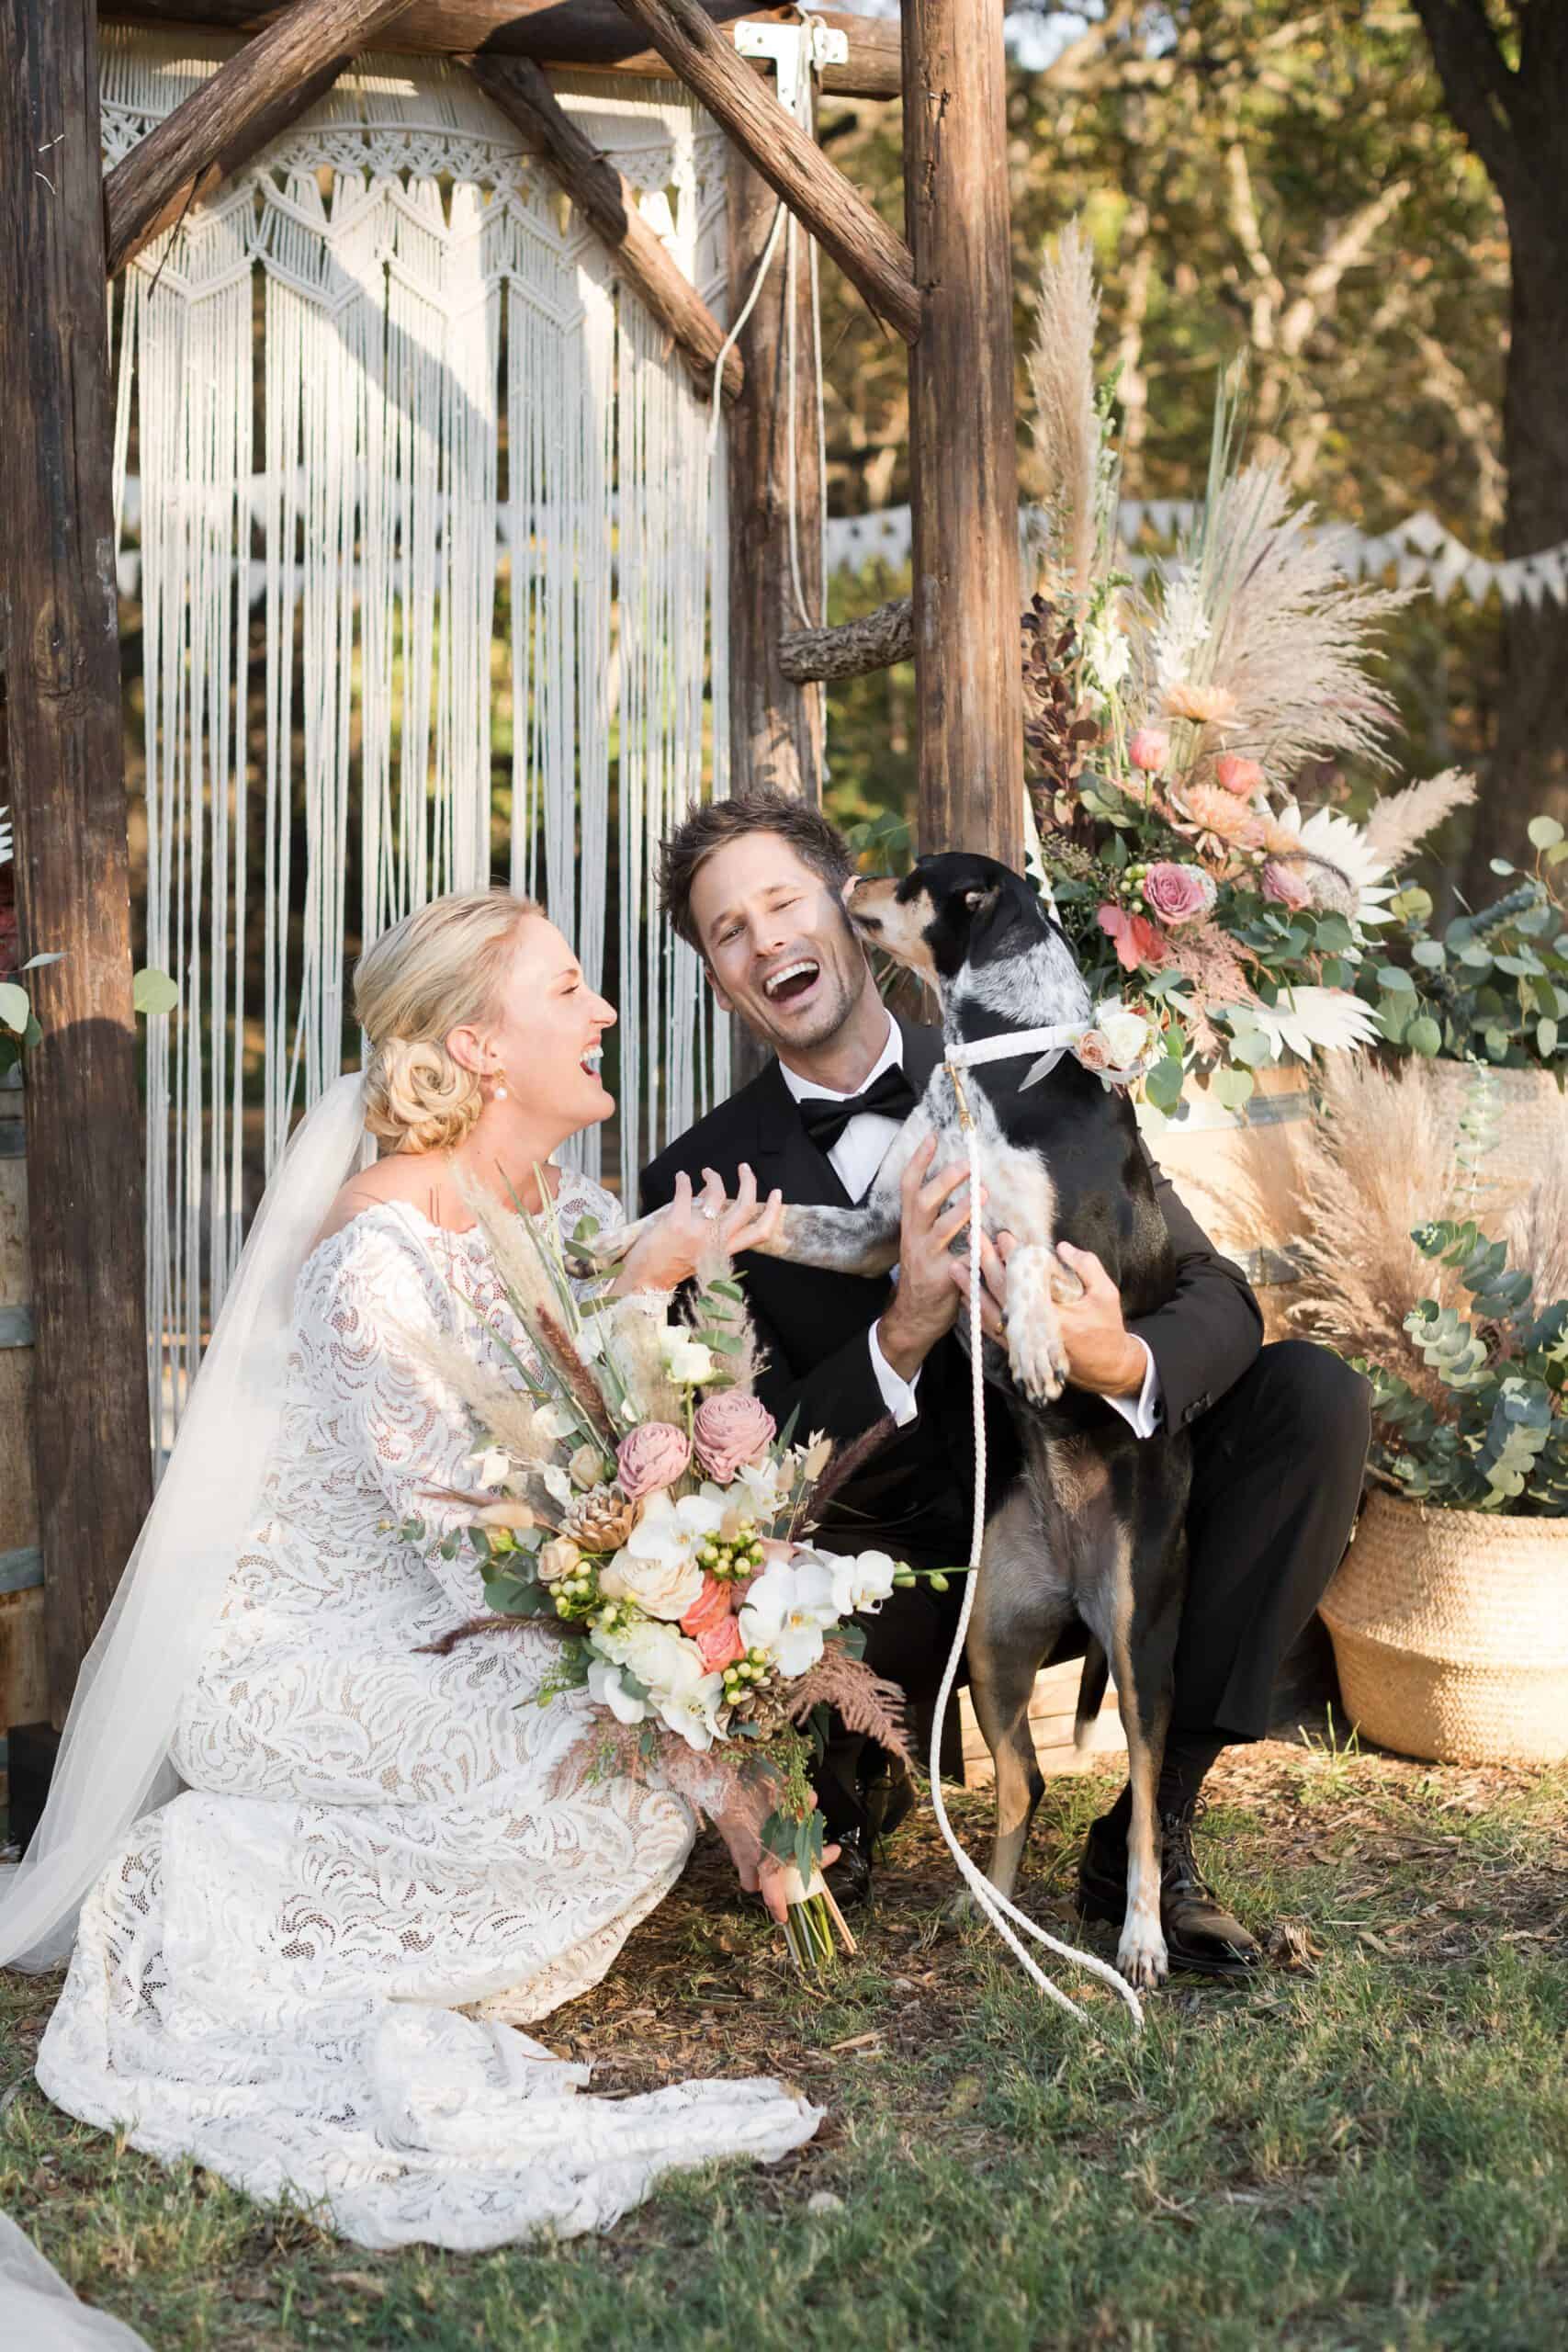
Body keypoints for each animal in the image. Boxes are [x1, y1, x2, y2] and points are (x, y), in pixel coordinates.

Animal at [602, 851, 1189, 1984]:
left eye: (919, 877)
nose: (845, 881)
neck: (989, 1063)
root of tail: (1075, 1574)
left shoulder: (1056, 1245)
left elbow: (1035, 1268)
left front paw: (1040, 1348)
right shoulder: (878, 1230)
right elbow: (762, 1213)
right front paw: (630, 1239)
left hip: (1142, 1642)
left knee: (1142, 1789)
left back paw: (1139, 1939)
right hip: (994, 1646)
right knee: (1023, 1781)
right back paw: (988, 1915)